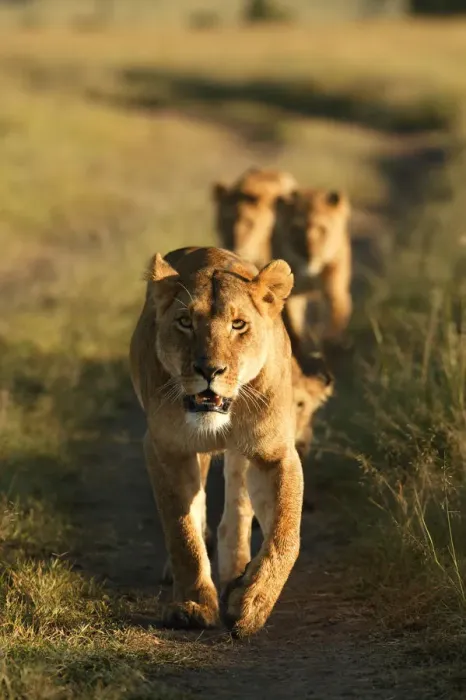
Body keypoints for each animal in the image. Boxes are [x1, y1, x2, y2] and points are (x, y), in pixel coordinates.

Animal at [129, 246, 303, 637]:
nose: (209, 370)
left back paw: (235, 572)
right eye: (185, 322)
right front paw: (192, 606)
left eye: (238, 325)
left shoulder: (276, 454)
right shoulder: (166, 449)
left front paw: (252, 603)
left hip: (243, 457)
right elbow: (182, 532)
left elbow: (286, 534)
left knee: (237, 511)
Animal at [272, 188, 352, 354]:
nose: (308, 254)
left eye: (322, 230)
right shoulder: (291, 294)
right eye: (295, 229)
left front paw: (329, 342)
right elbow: (292, 320)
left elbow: (335, 315)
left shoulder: (334, 290)